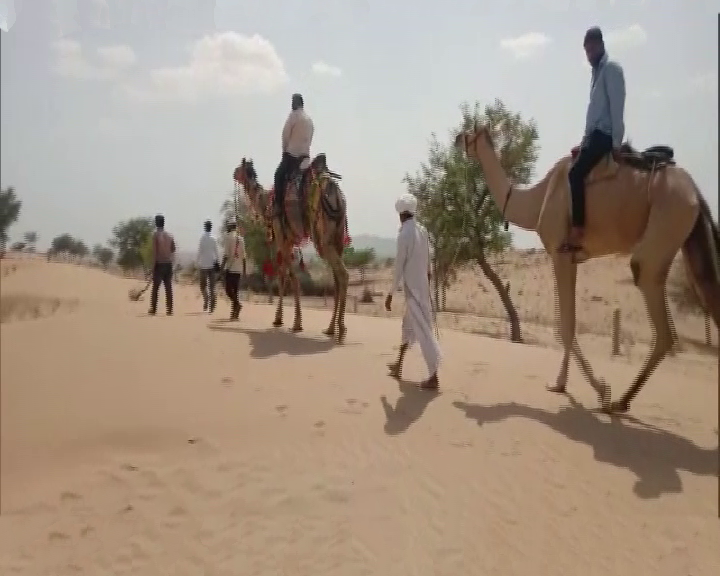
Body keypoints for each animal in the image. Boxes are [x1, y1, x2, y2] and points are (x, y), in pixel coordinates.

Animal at [233, 154, 352, 342]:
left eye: (239, 168)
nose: (233, 173)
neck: (266, 204)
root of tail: (337, 195)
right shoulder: (289, 241)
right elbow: (287, 275)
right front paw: (289, 320)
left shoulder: (282, 238)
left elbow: (288, 276)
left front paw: (288, 321)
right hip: (338, 237)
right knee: (337, 278)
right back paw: (330, 329)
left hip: (322, 236)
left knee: (343, 274)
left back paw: (341, 329)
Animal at [456, 124, 720, 414]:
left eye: (470, 132)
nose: (457, 139)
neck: (537, 200)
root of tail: (695, 191)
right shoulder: (571, 257)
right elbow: (567, 324)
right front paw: (561, 384)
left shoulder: (559, 252)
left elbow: (565, 327)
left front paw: (600, 390)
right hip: (687, 235)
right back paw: (623, 400)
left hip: (666, 222)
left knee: (658, 312)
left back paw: (618, 401)